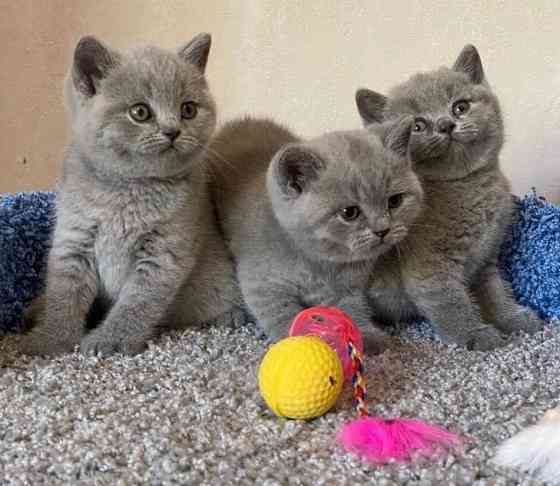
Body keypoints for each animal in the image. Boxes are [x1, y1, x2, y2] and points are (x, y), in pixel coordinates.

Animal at [20, 32, 244, 356]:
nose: (172, 131)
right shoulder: (74, 239)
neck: (128, 189)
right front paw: (49, 341)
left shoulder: (163, 253)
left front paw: (109, 341)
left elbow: (136, 303)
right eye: (140, 112)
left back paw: (229, 317)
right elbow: (64, 296)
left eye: (188, 109)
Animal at [210, 117, 424, 354]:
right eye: (349, 212)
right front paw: (297, 344)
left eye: (394, 201)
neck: (319, 263)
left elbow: (350, 310)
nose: (382, 230)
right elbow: (282, 315)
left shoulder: (347, 289)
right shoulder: (262, 285)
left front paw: (366, 336)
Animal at [356, 44, 544, 350]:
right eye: (418, 126)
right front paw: (477, 335)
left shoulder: (484, 260)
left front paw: (513, 318)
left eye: (461, 107)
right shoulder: (431, 269)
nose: (446, 124)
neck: (467, 185)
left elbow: (495, 292)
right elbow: (452, 304)